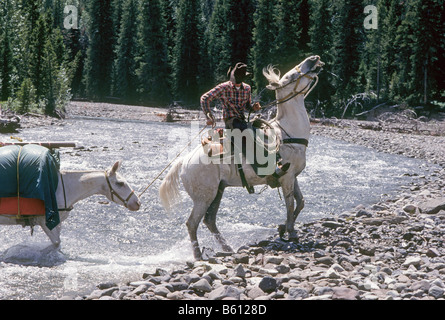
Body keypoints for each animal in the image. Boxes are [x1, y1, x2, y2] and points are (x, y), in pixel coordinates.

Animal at [0, 161, 139, 249]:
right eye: (120, 183)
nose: (137, 203)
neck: (63, 188)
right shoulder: (44, 221)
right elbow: (56, 243)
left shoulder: (57, 222)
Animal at [160, 55, 322, 260]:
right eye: (291, 76)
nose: (314, 58)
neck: (287, 133)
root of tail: (184, 161)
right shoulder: (286, 178)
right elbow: (290, 204)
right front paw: (291, 233)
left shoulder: (293, 176)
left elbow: (300, 202)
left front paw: (282, 228)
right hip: (204, 198)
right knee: (192, 223)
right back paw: (198, 256)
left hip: (218, 191)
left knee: (209, 221)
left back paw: (227, 248)